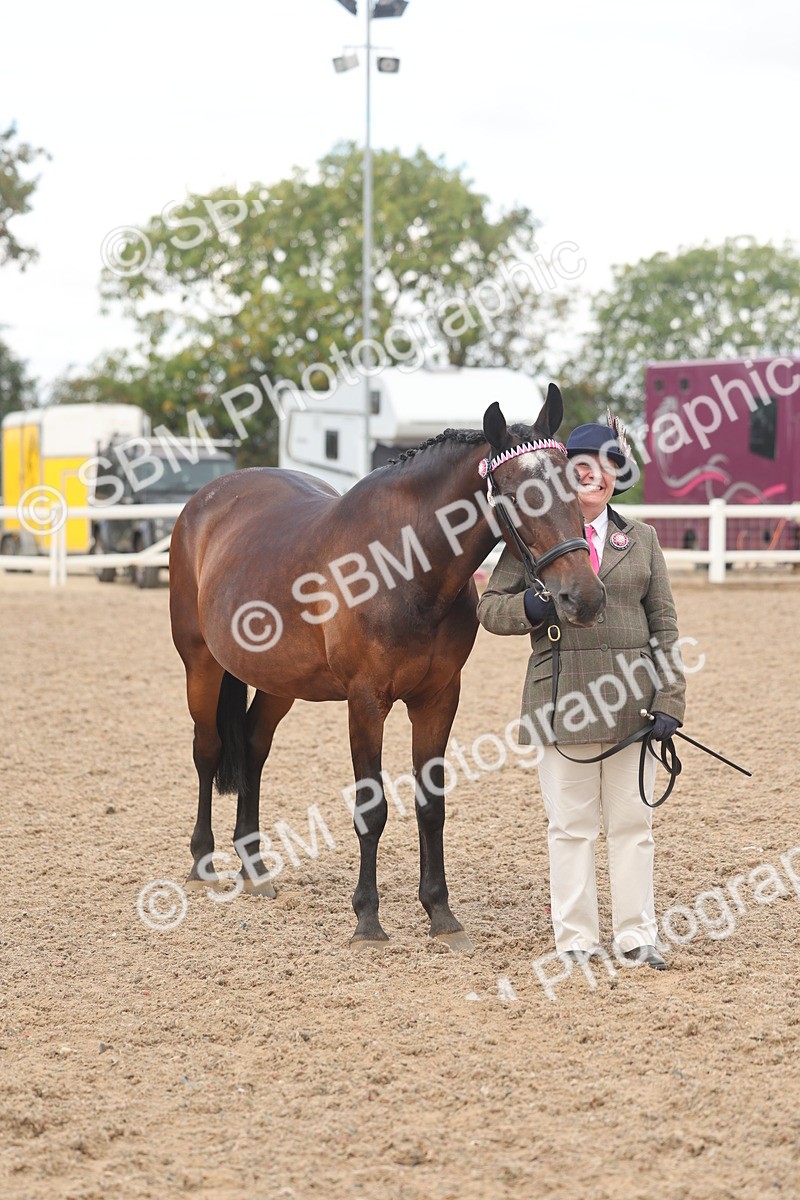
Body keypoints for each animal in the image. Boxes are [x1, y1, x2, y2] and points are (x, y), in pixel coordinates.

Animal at [168, 383, 606, 951]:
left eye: (574, 485)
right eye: (515, 494)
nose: (584, 597)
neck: (403, 565)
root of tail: (208, 500)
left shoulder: (438, 699)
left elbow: (431, 805)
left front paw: (441, 914)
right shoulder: (365, 701)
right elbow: (370, 808)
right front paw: (367, 920)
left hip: (278, 682)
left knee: (254, 749)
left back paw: (255, 866)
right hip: (200, 663)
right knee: (207, 749)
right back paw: (203, 862)